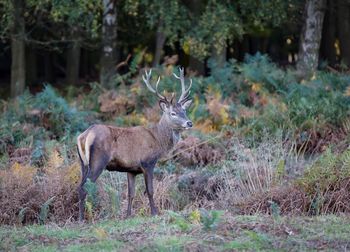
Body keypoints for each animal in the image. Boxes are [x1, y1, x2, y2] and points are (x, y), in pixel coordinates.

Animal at [76, 67, 194, 220]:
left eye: (184, 110)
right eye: (173, 113)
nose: (189, 123)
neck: (158, 140)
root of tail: (84, 136)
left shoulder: (131, 169)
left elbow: (130, 193)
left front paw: (128, 215)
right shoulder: (148, 162)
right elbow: (150, 190)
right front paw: (154, 213)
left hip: (83, 163)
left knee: (79, 186)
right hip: (98, 161)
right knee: (84, 188)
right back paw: (81, 219)